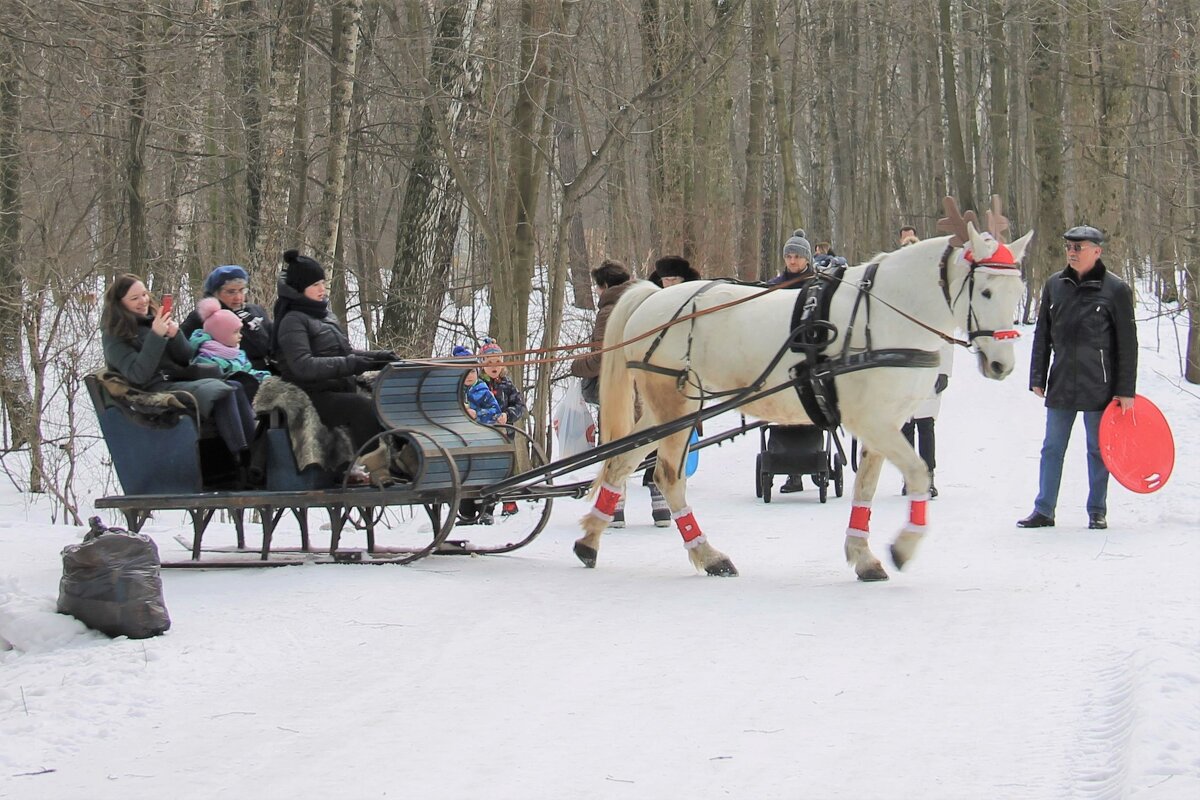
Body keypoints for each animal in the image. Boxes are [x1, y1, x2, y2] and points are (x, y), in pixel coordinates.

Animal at [573, 219, 1032, 582]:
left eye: (1018, 290)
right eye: (985, 292)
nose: (1001, 363)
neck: (888, 314)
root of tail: (653, 298)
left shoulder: (883, 423)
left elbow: (865, 487)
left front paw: (862, 556)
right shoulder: (873, 421)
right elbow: (919, 472)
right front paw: (904, 546)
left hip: (662, 409)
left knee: (622, 461)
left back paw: (589, 540)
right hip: (677, 405)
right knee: (667, 476)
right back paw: (708, 554)